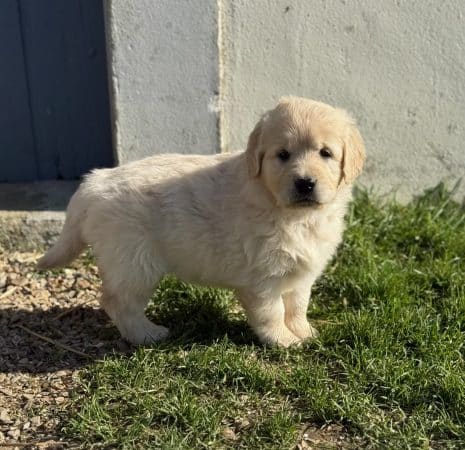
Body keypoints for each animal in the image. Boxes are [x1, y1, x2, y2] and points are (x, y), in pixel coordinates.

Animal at [38, 96, 364, 346]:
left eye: (325, 153)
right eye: (282, 155)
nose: (305, 183)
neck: (292, 214)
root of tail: (95, 181)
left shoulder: (300, 273)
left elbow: (297, 306)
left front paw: (303, 332)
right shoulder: (262, 277)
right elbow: (271, 312)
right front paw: (282, 340)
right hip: (134, 263)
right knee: (119, 301)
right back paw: (147, 335)